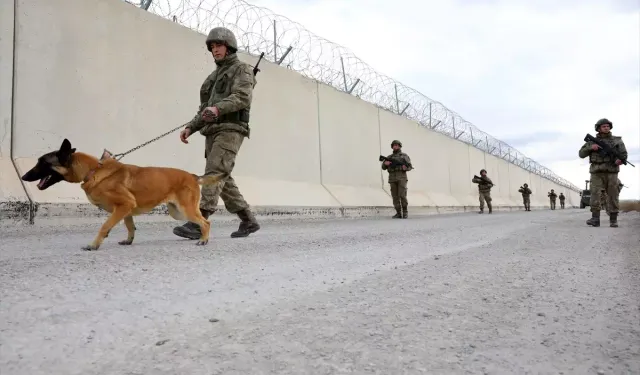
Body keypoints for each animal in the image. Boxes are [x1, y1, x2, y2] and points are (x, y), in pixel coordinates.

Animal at [21, 138, 228, 250]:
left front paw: (93, 245)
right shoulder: (126, 209)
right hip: (176, 212)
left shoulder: (123, 205)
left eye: (42, 162)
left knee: (205, 222)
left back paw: (203, 240)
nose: (23, 176)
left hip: (184, 210)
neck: (93, 171)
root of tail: (193, 176)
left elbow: (105, 226)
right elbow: (130, 227)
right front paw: (129, 241)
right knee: (202, 221)